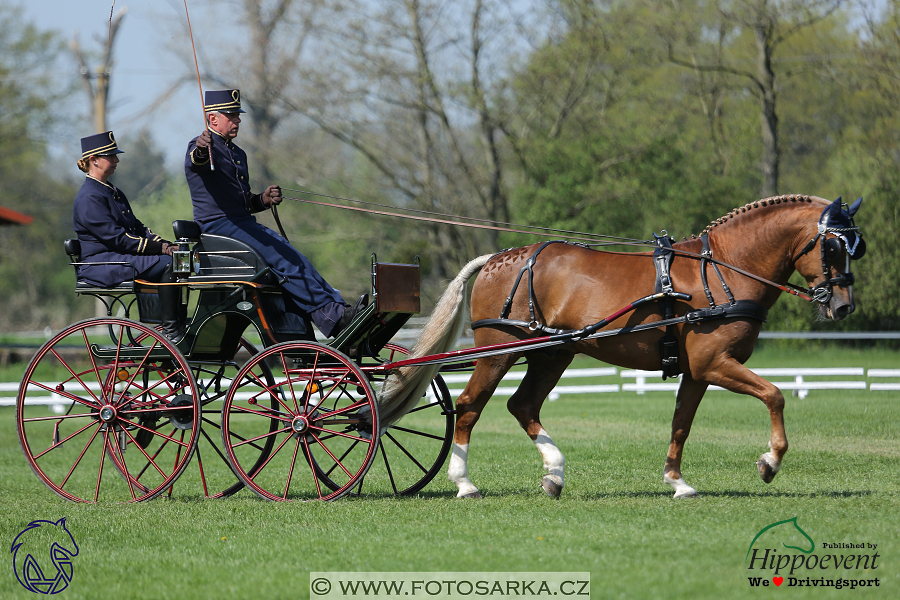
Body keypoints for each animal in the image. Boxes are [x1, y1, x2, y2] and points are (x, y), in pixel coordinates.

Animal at [394, 195, 864, 500]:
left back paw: (554, 473)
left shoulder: (697, 372)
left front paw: (677, 482)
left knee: (523, 405)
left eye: (853, 247)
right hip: (499, 351)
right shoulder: (715, 364)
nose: (843, 306)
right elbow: (775, 395)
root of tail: (499, 258)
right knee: (470, 406)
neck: (724, 271)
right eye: (834, 245)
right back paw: (464, 483)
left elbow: (681, 424)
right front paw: (770, 461)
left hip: (554, 352)